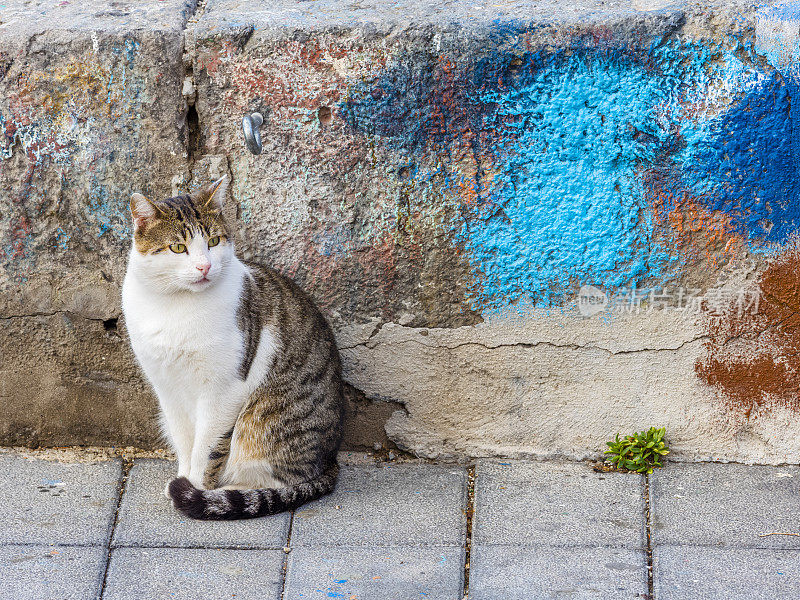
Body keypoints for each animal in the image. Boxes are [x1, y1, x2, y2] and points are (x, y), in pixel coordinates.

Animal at [120, 177, 342, 520]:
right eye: (178, 247)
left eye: (213, 241)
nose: (204, 267)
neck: (176, 305)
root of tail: (332, 459)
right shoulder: (167, 388)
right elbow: (185, 441)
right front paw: (183, 478)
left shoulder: (223, 390)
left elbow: (206, 450)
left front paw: (195, 490)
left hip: (264, 421)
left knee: (282, 479)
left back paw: (231, 494)